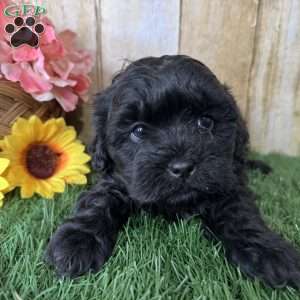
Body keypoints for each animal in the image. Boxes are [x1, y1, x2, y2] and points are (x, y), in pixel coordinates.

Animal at [46, 54, 300, 288]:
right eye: (138, 131)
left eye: (205, 123)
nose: (182, 167)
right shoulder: (116, 179)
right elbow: (98, 201)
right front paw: (76, 241)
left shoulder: (227, 183)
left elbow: (240, 214)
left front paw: (269, 252)